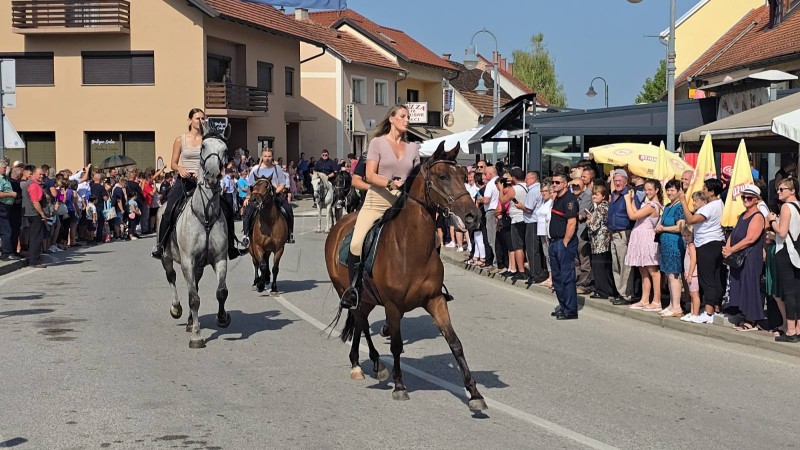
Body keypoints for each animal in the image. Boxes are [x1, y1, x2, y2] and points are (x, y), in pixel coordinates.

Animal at [156, 125, 231, 350]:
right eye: (203, 147)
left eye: (225, 150)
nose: (213, 176)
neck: (205, 215)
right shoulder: (187, 261)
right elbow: (194, 299)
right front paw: (197, 337)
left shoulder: (220, 258)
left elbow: (221, 291)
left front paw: (222, 318)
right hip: (166, 257)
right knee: (172, 277)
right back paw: (177, 310)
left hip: (198, 265)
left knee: (195, 285)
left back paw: (190, 321)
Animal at [322, 142, 484, 412]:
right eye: (442, 176)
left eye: (464, 175)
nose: (474, 216)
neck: (410, 247)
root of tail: (340, 224)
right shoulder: (393, 305)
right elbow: (397, 344)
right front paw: (399, 386)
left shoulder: (435, 300)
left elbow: (455, 342)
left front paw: (474, 393)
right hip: (347, 291)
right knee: (361, 323)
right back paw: (372, 364)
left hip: (367, 299)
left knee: (360, 322)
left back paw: (360, 363)